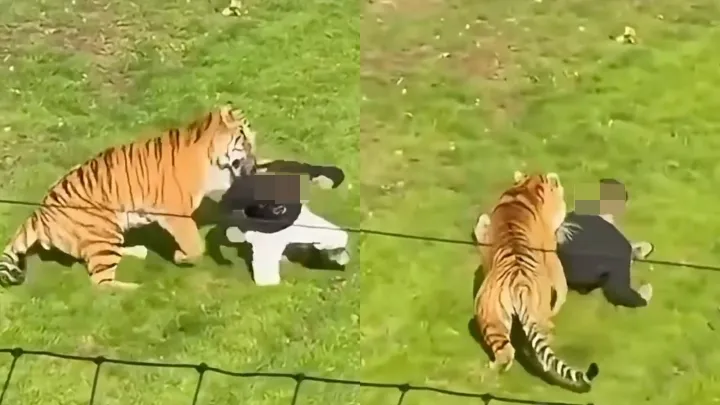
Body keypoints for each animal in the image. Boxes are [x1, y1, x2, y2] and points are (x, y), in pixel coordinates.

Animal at [0, 104, 256, 290]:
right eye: (245, 138)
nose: (255, 160)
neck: (213, 160)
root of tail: (39, 213)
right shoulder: (176, 214)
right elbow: (196, 246)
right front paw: (180, 257)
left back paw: (138, 251)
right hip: (104, 229)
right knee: (101, 283)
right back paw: (136, 289)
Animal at [473, 171, 599, 393]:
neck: (525, 189)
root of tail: (517, 286)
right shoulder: (551, 252)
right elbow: (561, 281)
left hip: (490, 315)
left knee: (506, 353)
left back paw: (490, 372)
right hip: (535, 316)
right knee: (543, 348)